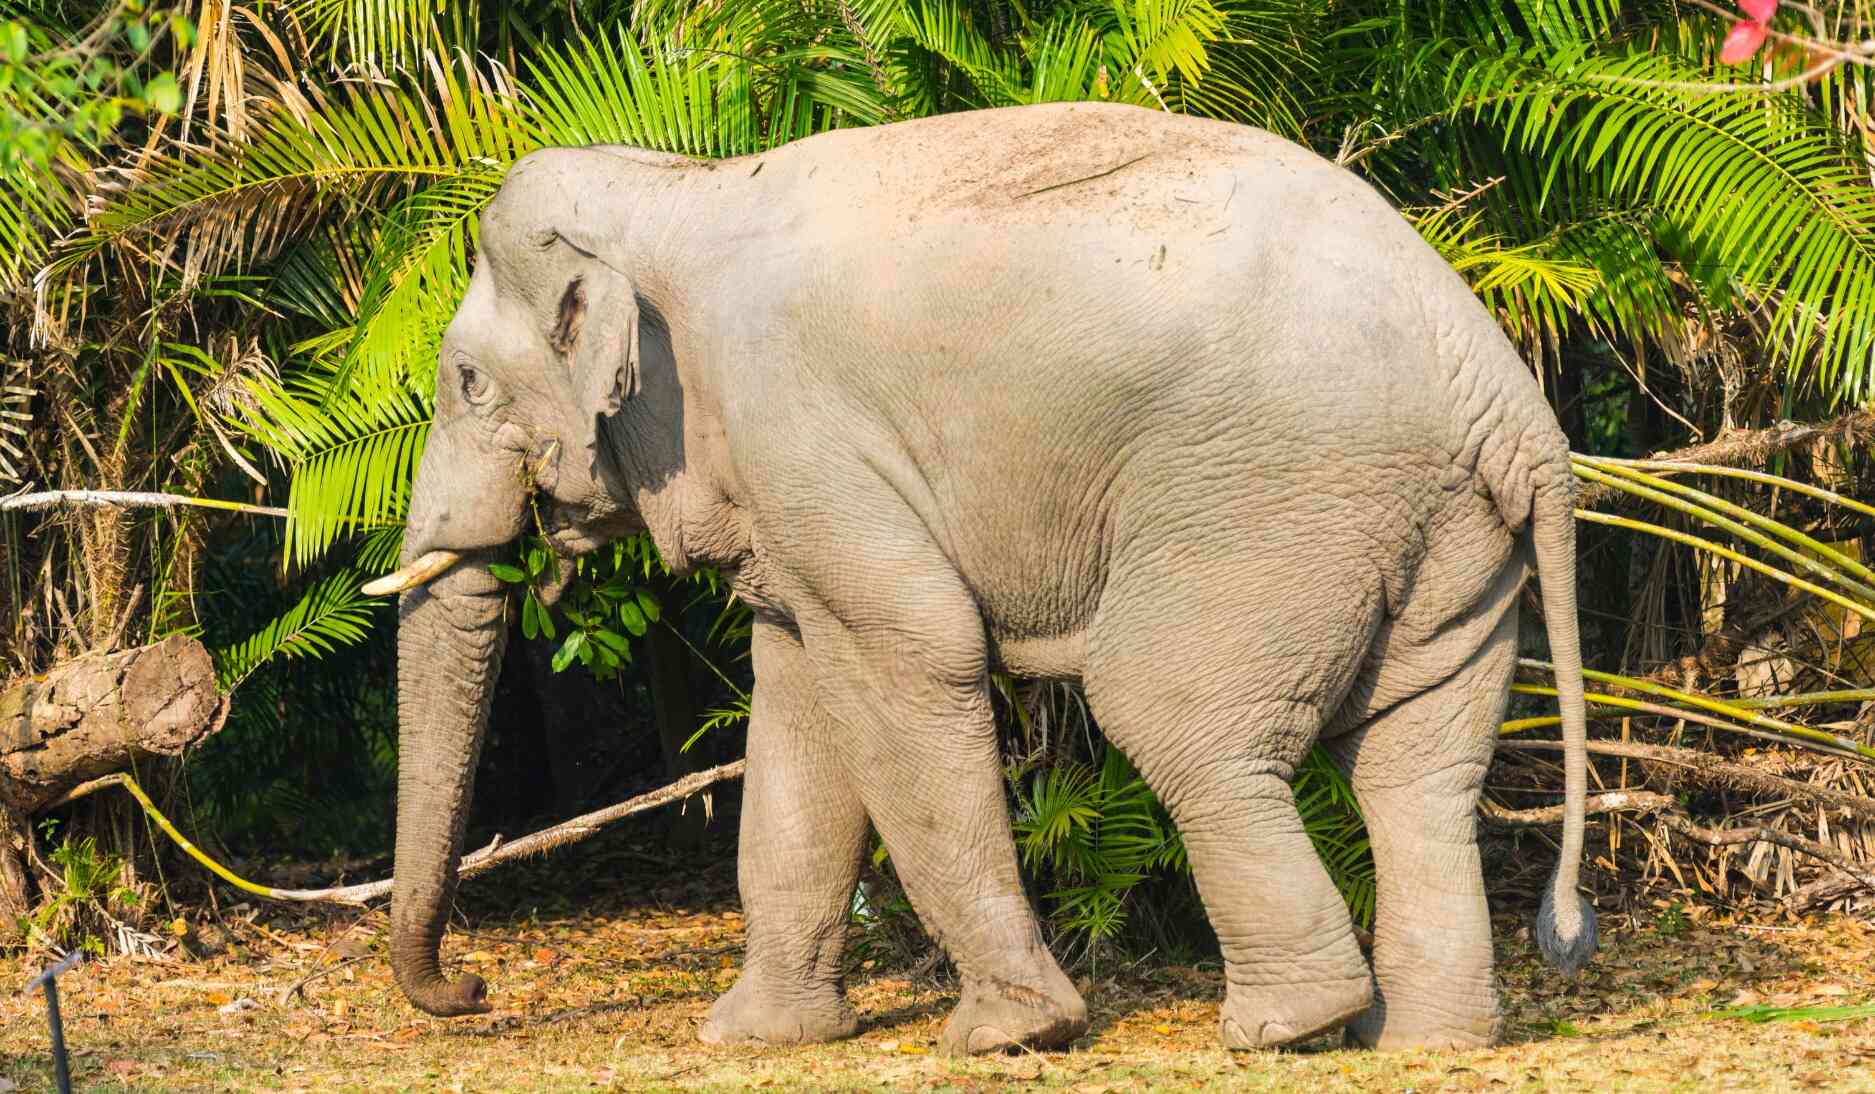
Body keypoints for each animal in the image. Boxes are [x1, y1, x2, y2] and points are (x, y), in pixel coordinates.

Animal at [369, 100, 1597, 1050]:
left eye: (467, 380)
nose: (470, 986)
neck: (674, 188)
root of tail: (1509, 400)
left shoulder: (798, 425)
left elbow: (911, 656)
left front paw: (1012, 1033)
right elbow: (797, 700)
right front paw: (755, 1038)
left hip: (1277, 502)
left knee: (1175, 717)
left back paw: (1286, 1025)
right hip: (1442, 541)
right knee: (1413, 766)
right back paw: (1426, 1038)